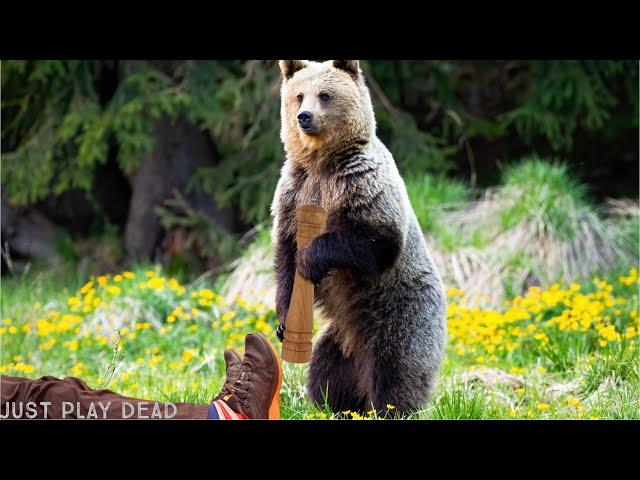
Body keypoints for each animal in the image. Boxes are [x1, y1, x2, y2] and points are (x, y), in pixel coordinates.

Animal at [270, 58, 444, 414]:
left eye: (325, 95)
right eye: (298, 95)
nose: (304, 117)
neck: (323, 163)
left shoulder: (362, 183)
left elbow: (376, 241)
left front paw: (311, 258)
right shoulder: (294, 191)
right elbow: (285, 256)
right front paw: (282, 321)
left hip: (401, 313)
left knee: (397, 369)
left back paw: (389, 408)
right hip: (340, 336)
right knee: (327, 370)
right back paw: (338, 405)